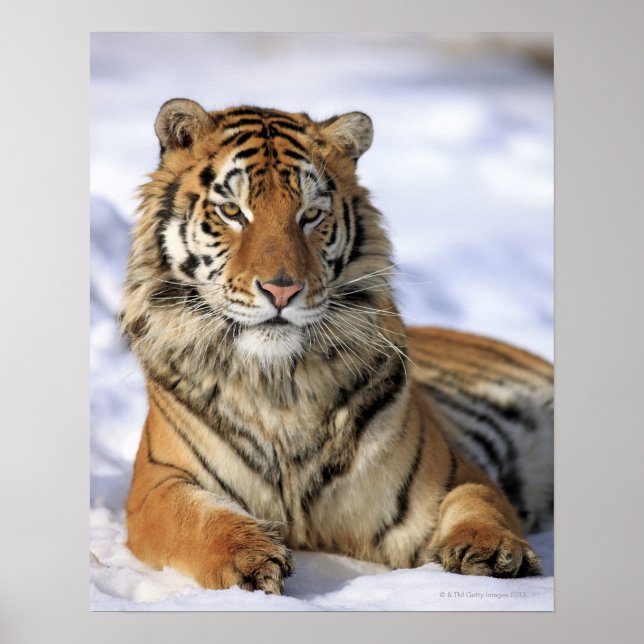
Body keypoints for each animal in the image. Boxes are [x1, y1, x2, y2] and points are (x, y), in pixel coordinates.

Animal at [121, 98, 553, 594]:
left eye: (310, 215)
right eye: (232, 210)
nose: (282, 290)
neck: (279, 386)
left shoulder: (449, 474)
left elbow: (478, 499)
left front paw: (492, 550)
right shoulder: (157, 482)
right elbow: (193, 518)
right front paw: (249, 558)